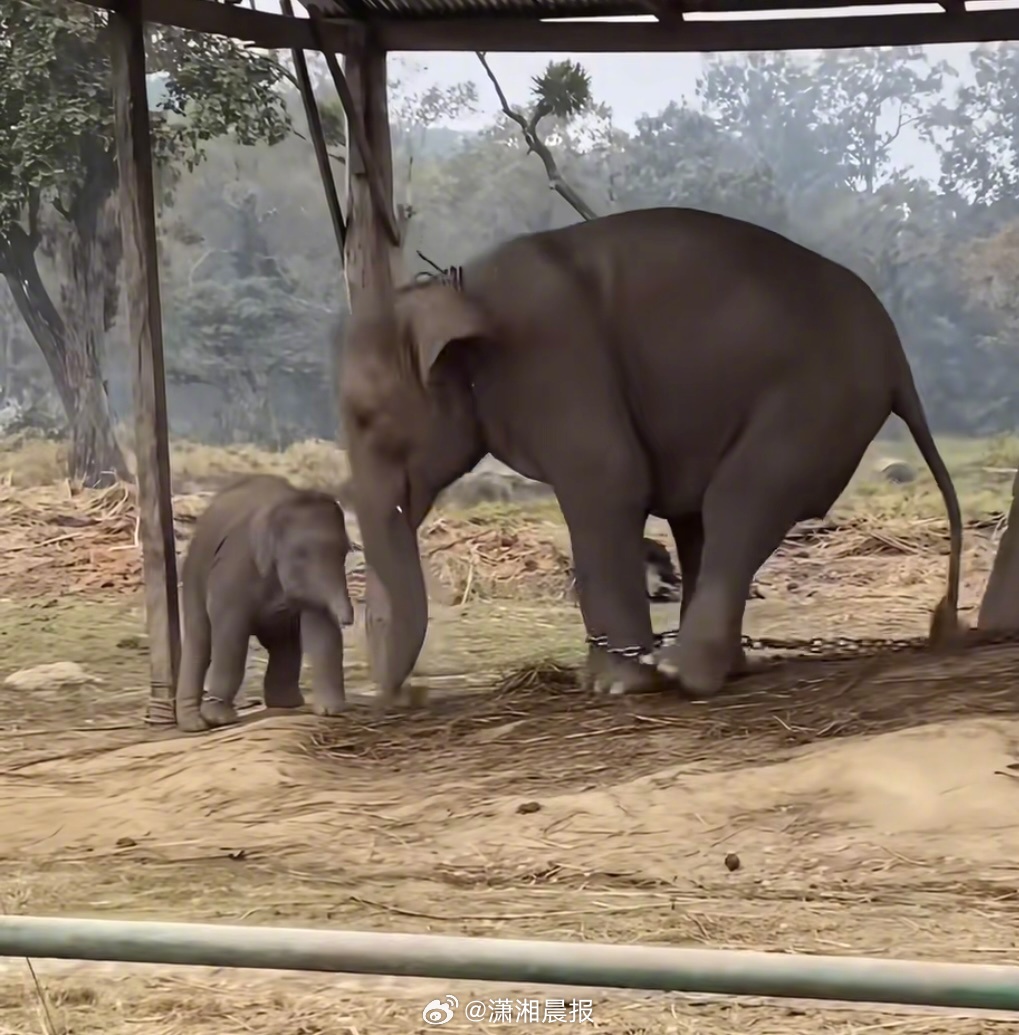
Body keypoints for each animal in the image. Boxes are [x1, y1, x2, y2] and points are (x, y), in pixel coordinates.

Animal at [175, 474, 354, 732]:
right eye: (300, 554)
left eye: (345, 552)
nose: (348, 619)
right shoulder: (235, 568)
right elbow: (230, 636)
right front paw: (220, 720)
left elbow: (322, 631)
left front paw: (332, 711)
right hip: (194, 572)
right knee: (200, 638)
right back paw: (196, 725)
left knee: (284, 643)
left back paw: (287, 704)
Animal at [338, 206, 963, 704]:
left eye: (366, 418)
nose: (395, 696)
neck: (456, 288)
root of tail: (897, 359)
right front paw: (603, 681)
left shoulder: (555, 362)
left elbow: (609, 482)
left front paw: (614, 687)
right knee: (703, 516)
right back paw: (716, 666)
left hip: (817, 400)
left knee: (740, 497)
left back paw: (679, 672)